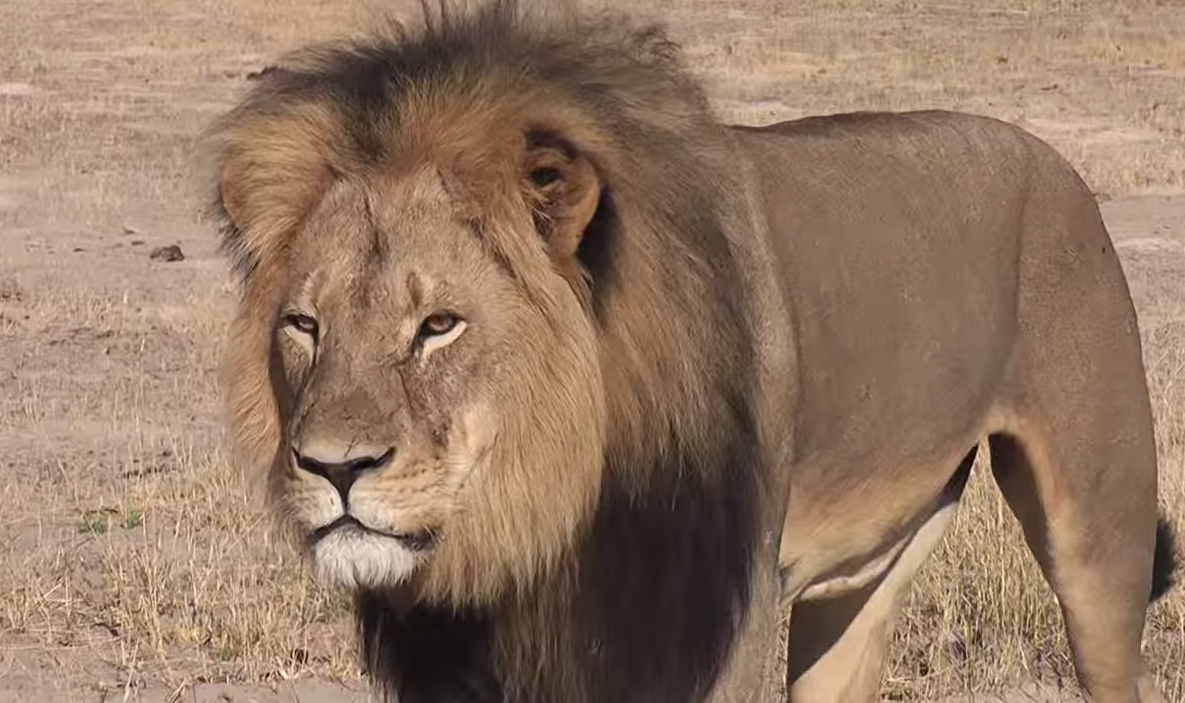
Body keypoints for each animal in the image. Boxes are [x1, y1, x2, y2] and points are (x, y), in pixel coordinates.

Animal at [203, 1, 1175, 701]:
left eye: (439, 324)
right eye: (304, 325)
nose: (334, 467)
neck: (545, 518)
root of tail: (1047, 154)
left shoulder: (715, 624)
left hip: (1100, 538)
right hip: (862, 583)